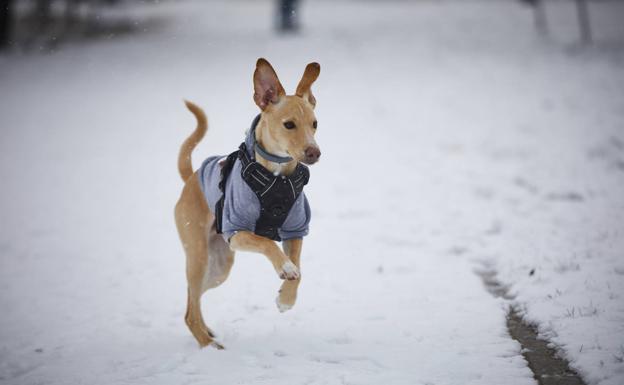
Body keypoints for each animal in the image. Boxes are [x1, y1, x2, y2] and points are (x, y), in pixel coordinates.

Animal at [176, 58, 322, 350]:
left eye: (315, 123)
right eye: (289, 124)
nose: (314, 152)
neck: (276, 178)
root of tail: (192, 178)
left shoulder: (296, 229)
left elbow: (299, 267)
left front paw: (286, 298)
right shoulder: (237, 232)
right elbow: (266, 243)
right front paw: (284, 267)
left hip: (218, 267)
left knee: (192, 299)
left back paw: (207, 332)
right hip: (199, 256)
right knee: (189, 309)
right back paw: (208, 345)